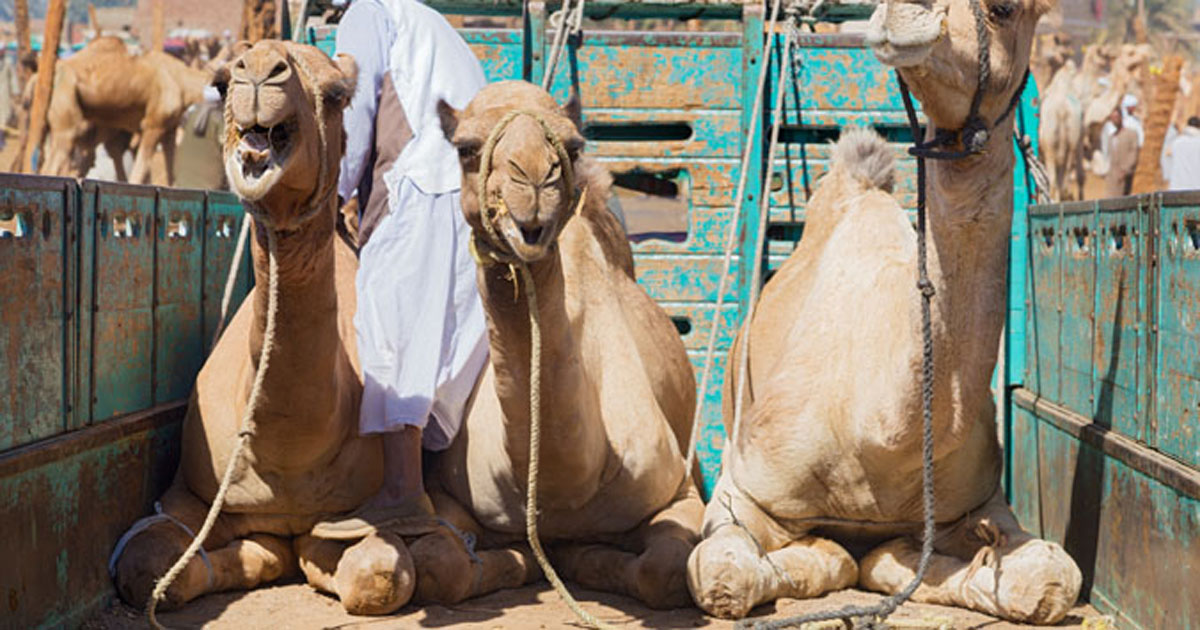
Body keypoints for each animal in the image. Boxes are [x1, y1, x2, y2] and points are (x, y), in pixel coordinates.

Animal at [39, 35, 213, 184]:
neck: (183, 82)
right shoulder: (153, 125)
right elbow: (138, 174)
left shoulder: (170, 129)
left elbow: (171, 177)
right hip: (67, 116)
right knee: (52, 167)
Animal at [111, 39, 422, 614]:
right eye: (219, 83)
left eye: (337, 94)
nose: (258, 70)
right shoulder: (186, 497)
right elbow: (144, 564)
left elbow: (379, 574)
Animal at [412, 81, 705, 607]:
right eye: (465, 148)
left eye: (571, 146)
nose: (532, 178)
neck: (562, 489)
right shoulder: (448, 493)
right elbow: (441, 565)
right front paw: (525, 560)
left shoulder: (679, 489)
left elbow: (663, 570)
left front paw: (586, 558)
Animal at [686, 0, 1089, 619]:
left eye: (1002, 10)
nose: (904, 14)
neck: (877, 435)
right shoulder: (742, 486)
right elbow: (723, 574)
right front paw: (838, 555)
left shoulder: (979, 502)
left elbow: (1051, 576)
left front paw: (920, 560)